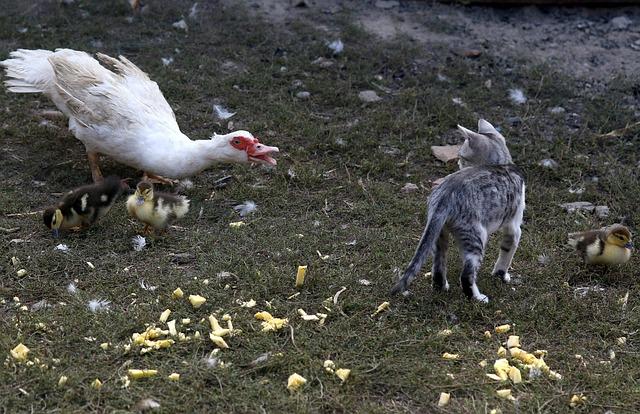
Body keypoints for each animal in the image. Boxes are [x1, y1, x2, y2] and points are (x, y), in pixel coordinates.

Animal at [390, 118, 524, 302]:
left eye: (462, 156)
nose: (458, 162)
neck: (503, 164)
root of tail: (444, 196)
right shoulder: (514, 227)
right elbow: (506, 254)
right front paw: (501, 276)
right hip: (476, 237)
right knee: (466, 275)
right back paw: (478, 298)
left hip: (439, 235)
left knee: (438, 267)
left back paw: (442, 287)